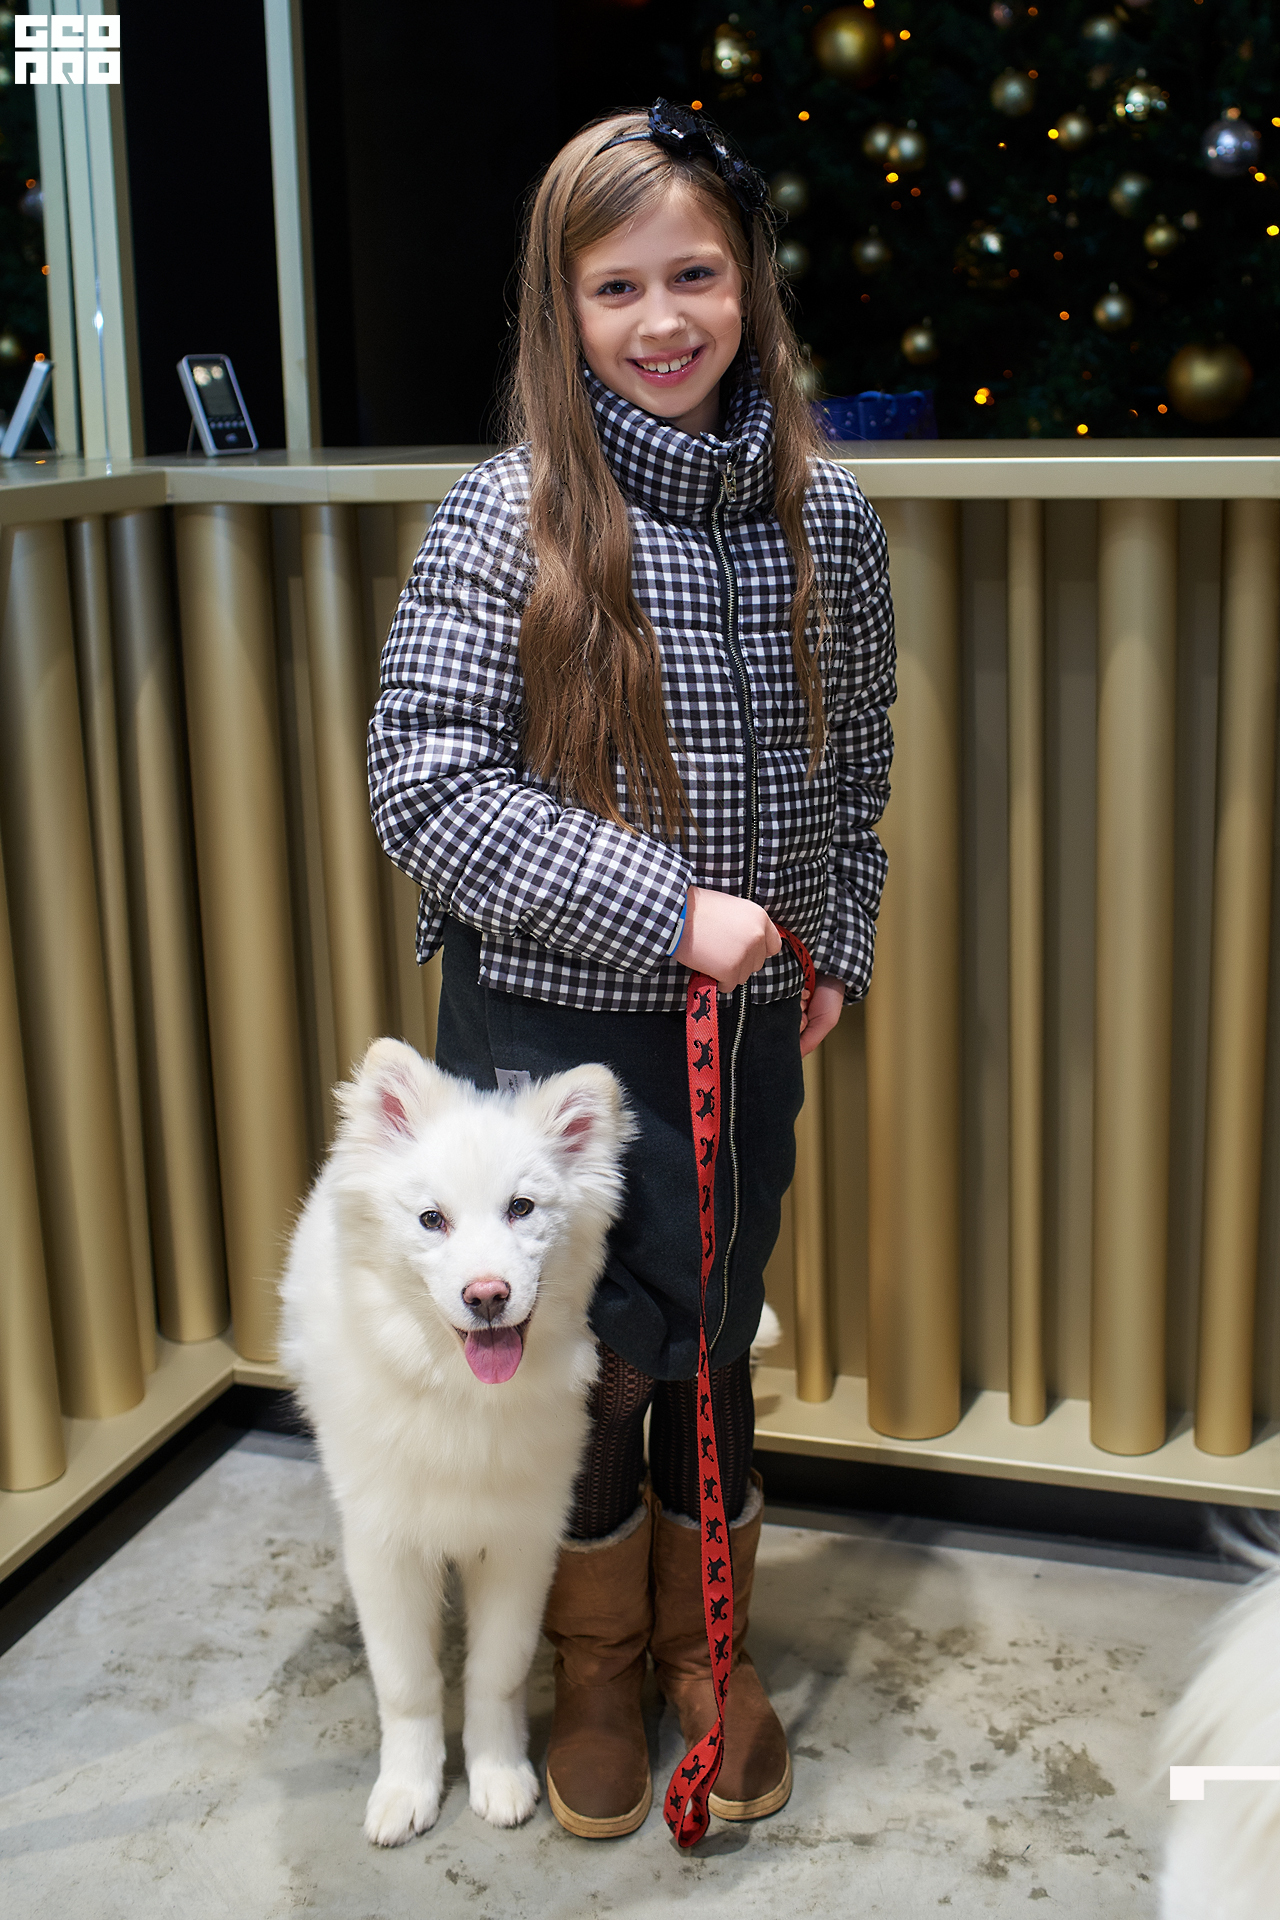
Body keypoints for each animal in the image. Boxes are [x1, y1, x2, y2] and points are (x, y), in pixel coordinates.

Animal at [278, 1037, 634, 1846]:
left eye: (522, 1208)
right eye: (431, 1219)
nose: (488, 1295)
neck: (462, 1392)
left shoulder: (520, 1544)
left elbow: (494, 1675)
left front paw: (499, 1776)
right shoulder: (384, 1548)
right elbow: (408, 1684)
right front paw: (407, 1791)